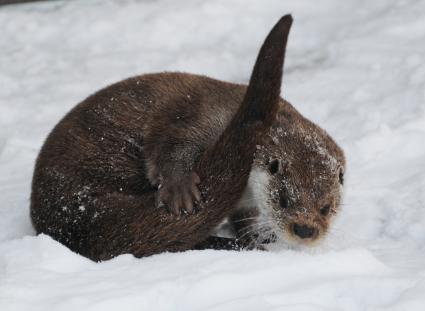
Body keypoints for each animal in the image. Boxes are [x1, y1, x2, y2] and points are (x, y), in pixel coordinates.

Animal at [30, 15, 344, 262]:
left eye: (326, 207)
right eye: (284, 199)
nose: (305, 230)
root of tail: (71, 223)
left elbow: (244, 217)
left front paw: (256, 234)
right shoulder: (202, 117)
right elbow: (172, 144)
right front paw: (180, 188)